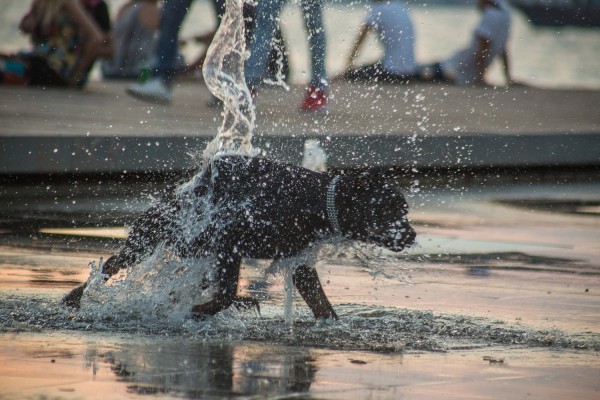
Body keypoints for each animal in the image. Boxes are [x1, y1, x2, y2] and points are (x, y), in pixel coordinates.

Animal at [63, 155, 414, 318]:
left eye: (405, 209)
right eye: (393, 209)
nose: (411, 235)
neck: (314, 201)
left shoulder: (299, 264)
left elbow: (321, 303)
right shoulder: (228, 241)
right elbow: (226, 294)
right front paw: (199, 311)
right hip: (149, 238)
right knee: (110, 264)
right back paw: (77, 296)